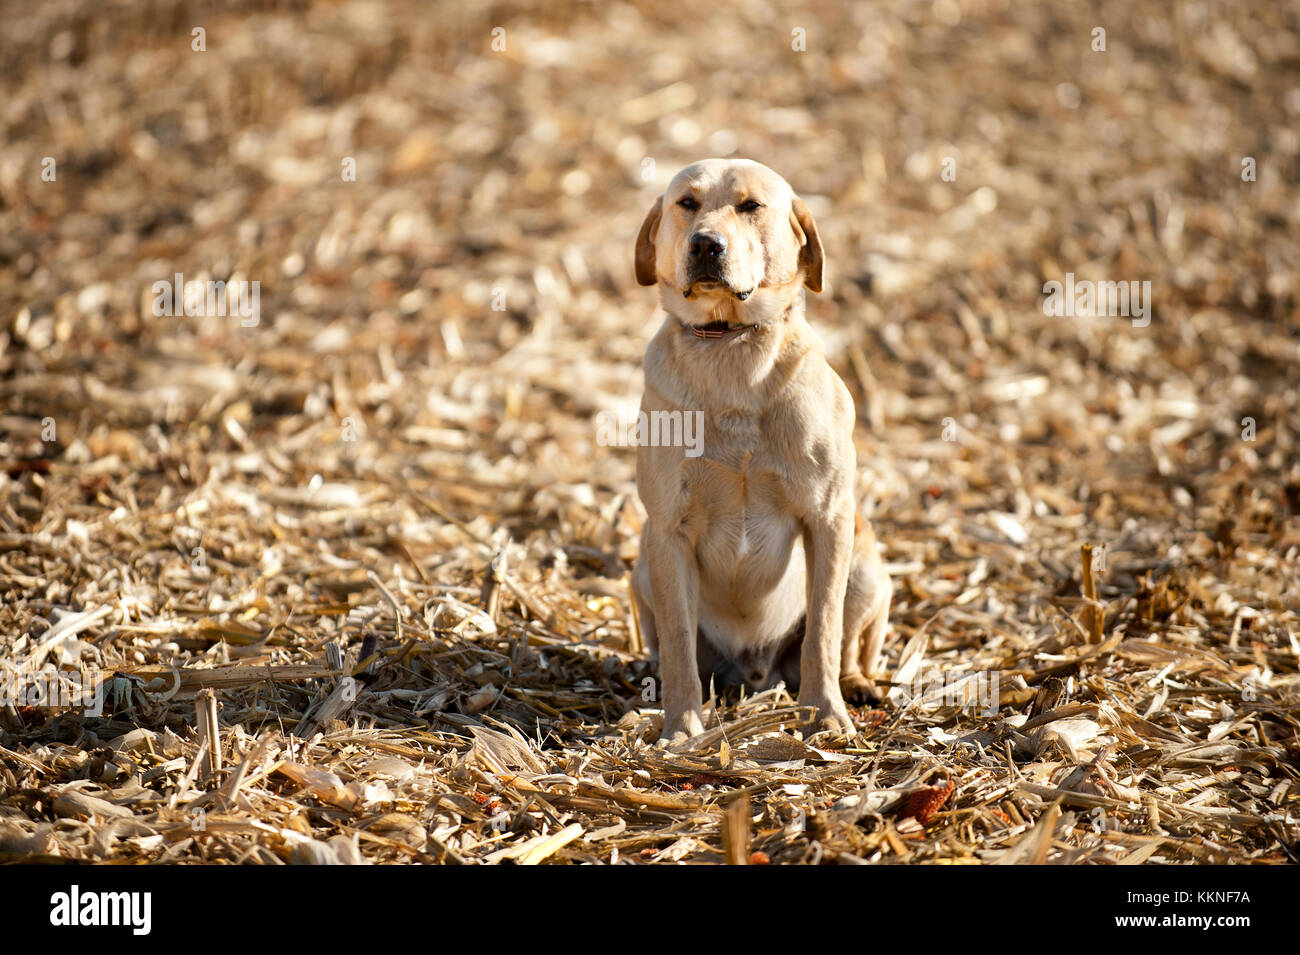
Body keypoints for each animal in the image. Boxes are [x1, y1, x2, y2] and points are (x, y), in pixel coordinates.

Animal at [629, 158, 894, 748]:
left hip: (866, 563)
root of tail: (755, 671)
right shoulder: (668, 532)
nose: (706, 244)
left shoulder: (828, 518)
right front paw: (682, 729)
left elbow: (823, 631)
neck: (731, 344)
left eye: (751, 206)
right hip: (641, 570)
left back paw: (856, 686)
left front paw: (825, 716)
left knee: (847, 645)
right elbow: (679, 649)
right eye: (686, 203)